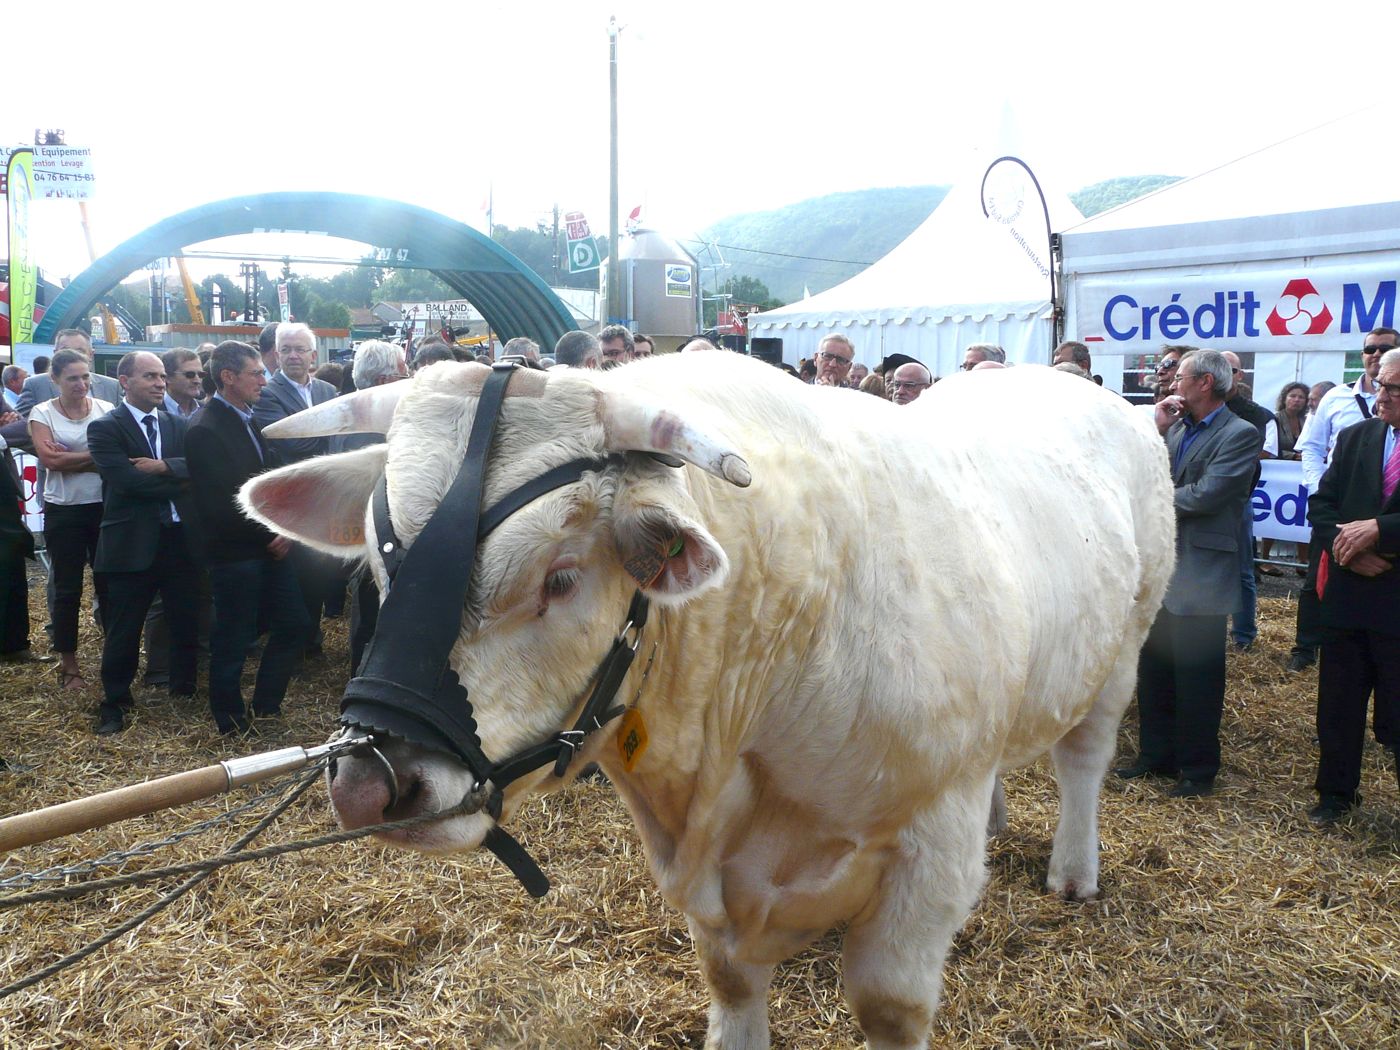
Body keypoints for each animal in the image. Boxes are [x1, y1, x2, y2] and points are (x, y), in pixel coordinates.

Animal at [240, 354, 1174, 1050]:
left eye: (560, 577)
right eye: (381, 559)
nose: (371, 783)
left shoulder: (928, 843)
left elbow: (890, 1005)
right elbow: (729, 981)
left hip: (1125, 646)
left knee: (1083, 759)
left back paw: (1074, 870)